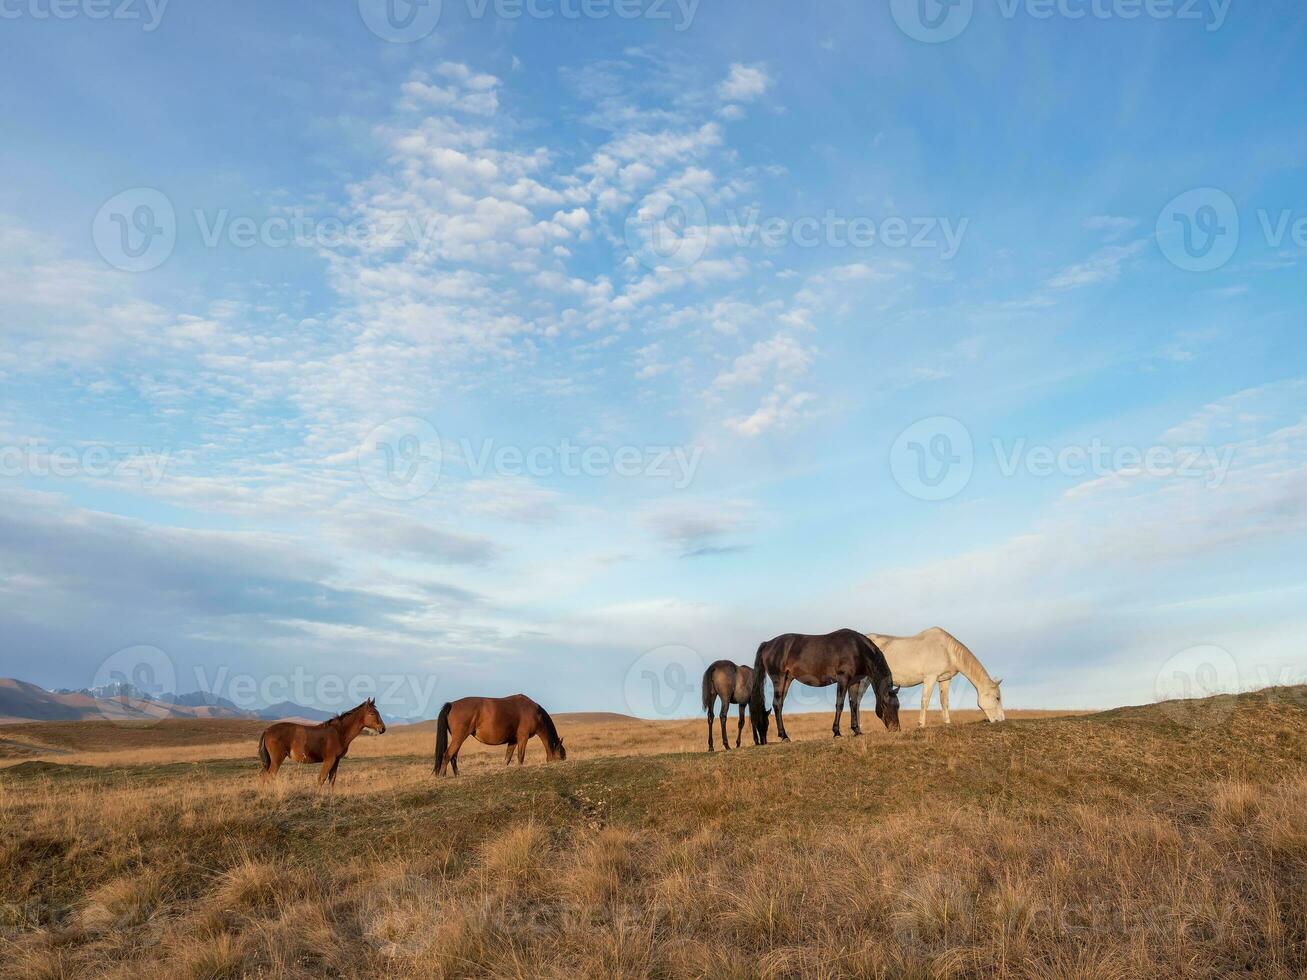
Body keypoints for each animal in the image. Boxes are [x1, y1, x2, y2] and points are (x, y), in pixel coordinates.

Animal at [256, 700, 384, 789]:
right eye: (372, 713)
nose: (383, 729)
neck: (339, 732)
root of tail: (267, 730)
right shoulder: (329, 760)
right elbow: (321, 779)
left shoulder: (336, 760)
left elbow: (332, 780)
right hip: (277, 760)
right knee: (269, 777)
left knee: (264, 777)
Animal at [433, 695, 567, 778]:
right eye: (561, 755)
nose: (563, 762)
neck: (535, 712)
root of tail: (451, 704)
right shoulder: (522, 738)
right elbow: (520, 757)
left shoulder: (513, 741)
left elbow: (507, 759)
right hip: (459, 738)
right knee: (447, 755)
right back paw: (443, 776)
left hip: (458, 739)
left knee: (453, 757)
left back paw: (457, 775)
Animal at [747, 629, 899, 742]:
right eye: (885, 705)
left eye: (898, 706)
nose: (895, 728)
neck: (857, 649)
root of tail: (767, 644)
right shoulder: (843, 679)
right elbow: (840, 704)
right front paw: (837, 732)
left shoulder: (854, 682)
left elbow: (854, 704)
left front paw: (857, 730)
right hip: (779, 679)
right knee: (777, 704)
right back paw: (784, 736)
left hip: (787, 679)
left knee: (779, 704)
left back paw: (784, 735)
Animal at [857, 629, 1009, 731]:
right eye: (997, 698)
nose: (1001, 720)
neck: (947, 650)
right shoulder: (930, 678)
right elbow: (925, 701)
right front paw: (921, 724)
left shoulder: (945, 679)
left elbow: (944, 701)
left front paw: (947, 722)